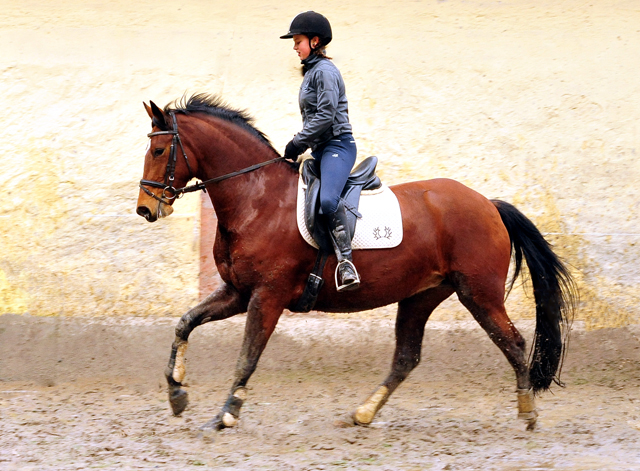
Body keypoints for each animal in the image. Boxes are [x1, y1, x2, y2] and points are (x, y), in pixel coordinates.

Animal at [134, 94, 576, 434]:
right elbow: (185, 323)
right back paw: (363, 413)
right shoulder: (238, 293)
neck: (256, 200)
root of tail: (488, 204)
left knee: (513, 342)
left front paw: (225, 416)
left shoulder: (267, 296)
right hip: (422, 295)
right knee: (406, 357)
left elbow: (247, 356)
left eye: (158, 150)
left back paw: (528, 412)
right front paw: (177, 392)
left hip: (479, 293)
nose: (145, 209)